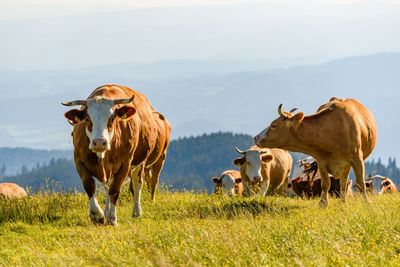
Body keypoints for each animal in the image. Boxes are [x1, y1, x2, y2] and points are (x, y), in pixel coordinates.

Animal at [62, 84, 170, 226]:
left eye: (112, 119)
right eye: (87, 119)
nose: (99, 142)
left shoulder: (125, 164)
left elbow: (115, 190)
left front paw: (112, 219)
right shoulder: (79, 161)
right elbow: (89, 185)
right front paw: (98, 215)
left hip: (143, 161)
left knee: (138, 183)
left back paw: (136, 212)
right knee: (108, 185)